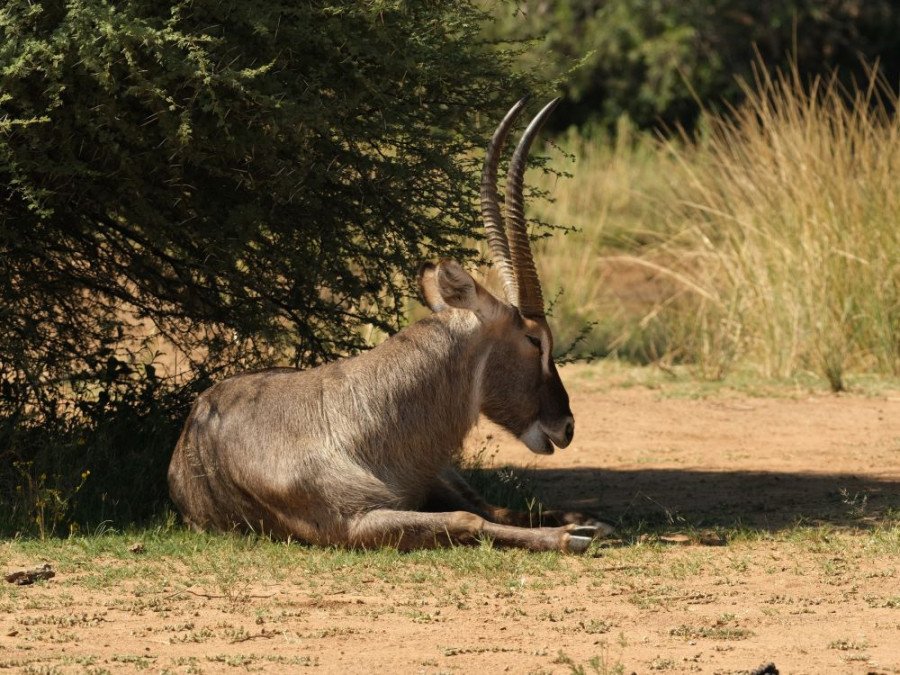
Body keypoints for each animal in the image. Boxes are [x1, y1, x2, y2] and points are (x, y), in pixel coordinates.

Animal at [165, 100, 608, 556]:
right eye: (534, 339)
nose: (566, 426)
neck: (350, 421)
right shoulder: (354, 525)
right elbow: (466, 520)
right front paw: (568, 537)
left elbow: (481, 512)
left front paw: (577, 527)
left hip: (443, 474)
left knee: (493, 506)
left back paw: (588, 519)